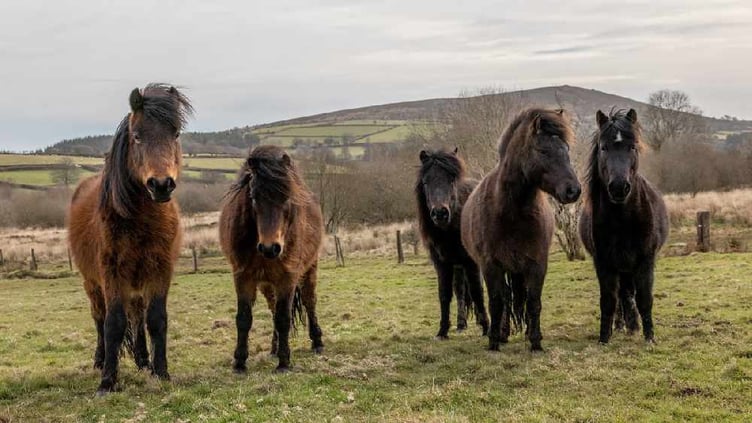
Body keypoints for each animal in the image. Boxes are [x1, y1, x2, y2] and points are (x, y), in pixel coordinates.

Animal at [68, 83, 192, 395]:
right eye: (137, 136)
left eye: (175, 134)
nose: (161, 185)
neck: (142, 220)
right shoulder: (112, 273)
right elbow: (113, 324)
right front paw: (107, 382)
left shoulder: (160, 270)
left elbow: (156, 320)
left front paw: (161, 372)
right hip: (93, 283)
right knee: (99, 318)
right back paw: (100, 360)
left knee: (137, 316)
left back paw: (142, 360)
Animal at [219, 145, 324, 373]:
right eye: (253, 197)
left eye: (287, 197)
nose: (270, 248)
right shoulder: (243, 277)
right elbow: (244, 319)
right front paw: (240, 362)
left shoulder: (288, 278)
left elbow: (283, 319)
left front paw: (284, 363)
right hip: (267, 285)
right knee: (273, 308)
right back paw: (274, 348)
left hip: (309, 270)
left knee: (309, 302)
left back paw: (317, 342)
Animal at [416, 148, 490, 339]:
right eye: (426, 182)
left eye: (451, 180)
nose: (440, 213)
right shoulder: (442, 264)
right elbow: (445, 294)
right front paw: (442, 331)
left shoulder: (471, 262)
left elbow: (477, 292)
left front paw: (487, 328)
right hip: (457, 266)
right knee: (460, 290)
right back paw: (461, 323)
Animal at [461, 108, 581, 351]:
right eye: (543, 150)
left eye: (566, 149)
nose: (573, 190)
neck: (511, 212)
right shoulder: (491, 266)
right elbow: (497, 303)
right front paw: (493, 342)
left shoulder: (537, 264)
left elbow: (534, 302)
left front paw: (535, 342)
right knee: (506, 300)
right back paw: (502, 334)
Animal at [579, 108, 668, 344]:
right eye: (604, 147)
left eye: (633, 146)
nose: (619, 187)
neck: (623, 220)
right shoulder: (604, 263)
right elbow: (608, 300)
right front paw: (604, 338)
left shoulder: (645, 260)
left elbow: (644, 298)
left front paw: (649, 338)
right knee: (621, 296)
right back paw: (621, 325)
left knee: (629, 294)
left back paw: (632, 326)